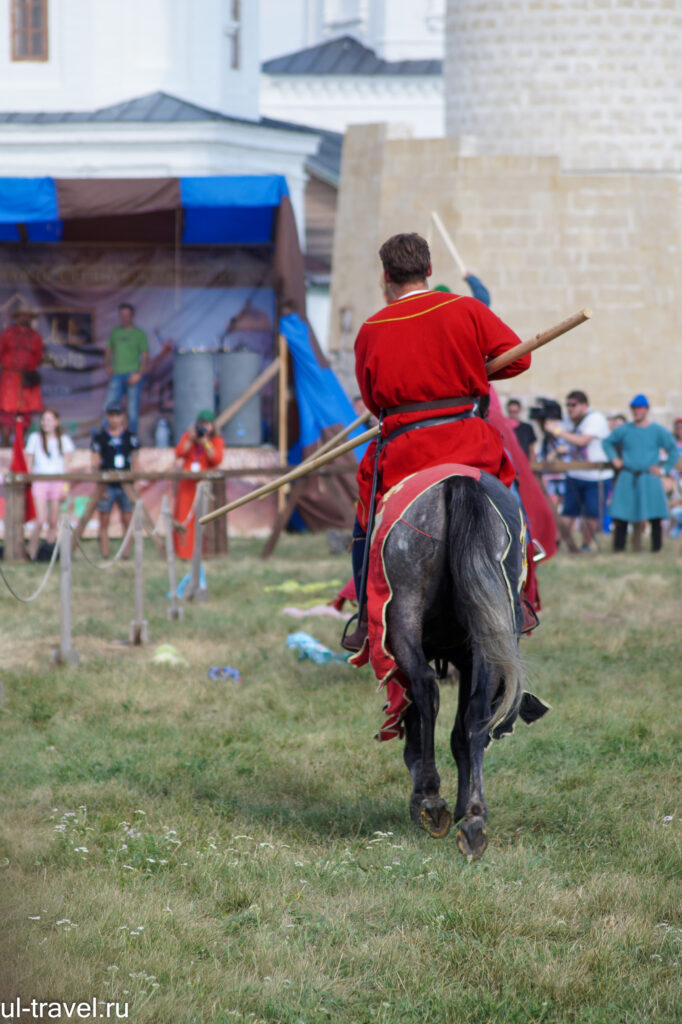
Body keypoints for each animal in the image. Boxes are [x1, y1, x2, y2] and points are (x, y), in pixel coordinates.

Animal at [382, 468, 548, 856]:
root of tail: (458, 481)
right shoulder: (469, 657)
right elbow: (463, 731)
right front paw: (462, 807)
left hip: (403, 617)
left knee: (424, 688)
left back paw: (429, 798)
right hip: (484, 640)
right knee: (475, 713)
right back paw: (473, 817)